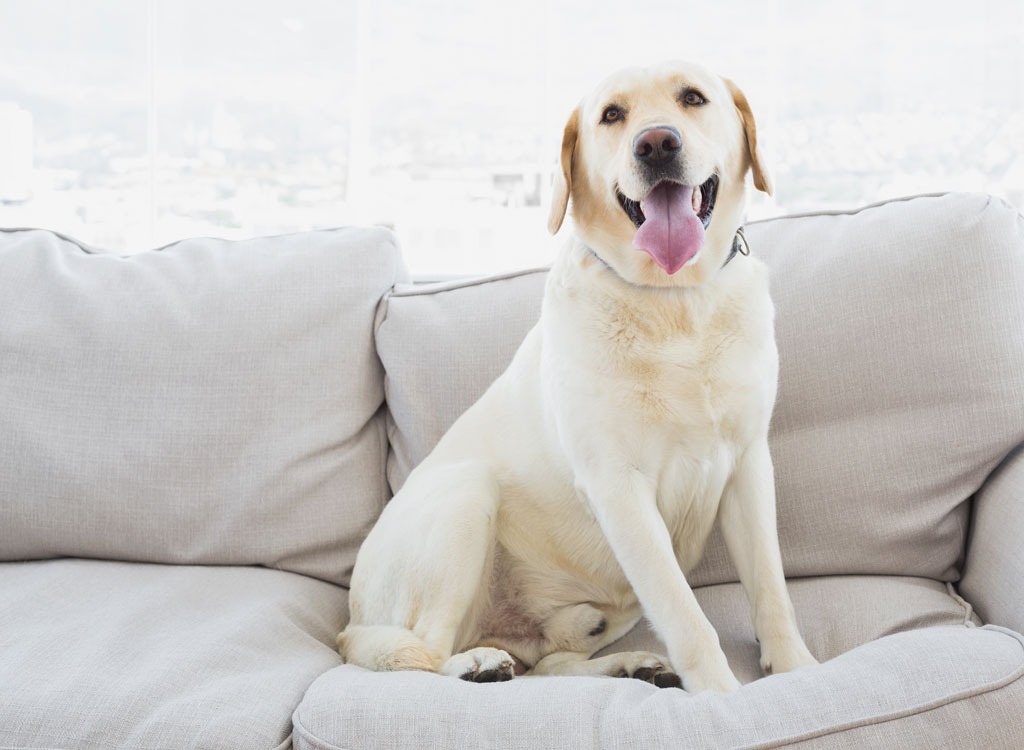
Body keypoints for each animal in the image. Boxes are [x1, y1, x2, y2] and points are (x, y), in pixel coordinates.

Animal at [339, 61, 819, 692]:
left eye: (692, 98)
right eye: (611, 115)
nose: (656, 143)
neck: (674, 302)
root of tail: (348, 623)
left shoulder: (746, 466)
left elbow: (771, 588)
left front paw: (796, 670)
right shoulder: (618, 488)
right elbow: (686, 615)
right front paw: (721, 695)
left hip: (601, 610)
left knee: (549, 665)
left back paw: (630, 664)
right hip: (466, 493)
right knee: (426, 655)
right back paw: (476, 664)